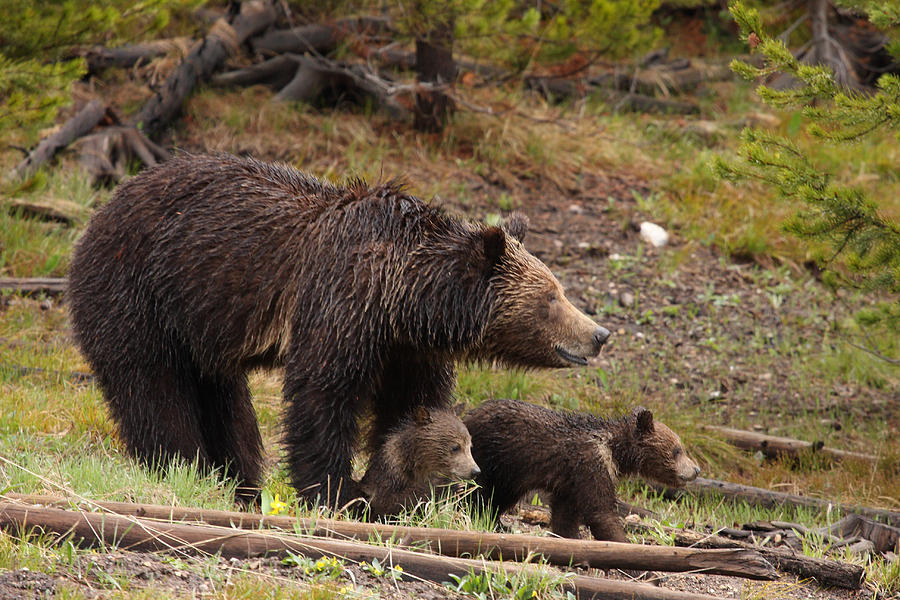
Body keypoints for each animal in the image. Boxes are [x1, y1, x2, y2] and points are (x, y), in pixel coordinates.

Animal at [70, 154, 612, 506]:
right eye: (552, 297)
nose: (599, 334)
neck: (403, 297)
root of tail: (100, 210)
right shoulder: (340, 301)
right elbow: (322, 395)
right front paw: (336, 490)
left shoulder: (407, 347)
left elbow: (413, 403)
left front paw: (409, 487)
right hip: (138, 292)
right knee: (153, 387)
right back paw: (181, 467)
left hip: (203, 324)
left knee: (227, 404)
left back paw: (238, 481)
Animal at [464, 400, 704, 540]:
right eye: (677, 450)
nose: (696, 469)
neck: (614, 450)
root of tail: (467, 414)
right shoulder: (590, 464)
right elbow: (600, 512)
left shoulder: (570, 482)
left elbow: (566, 515)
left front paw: (569, 537)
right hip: (491, 457)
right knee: (480, 491)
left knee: (501, 496)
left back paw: (498, 523)